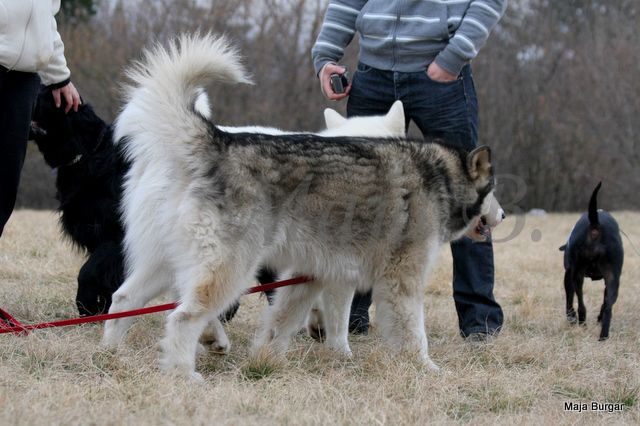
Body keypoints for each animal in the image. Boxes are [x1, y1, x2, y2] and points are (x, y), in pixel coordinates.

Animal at [104, 34, 496, 380]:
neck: (439, 175)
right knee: (181, 316)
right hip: (231, 269)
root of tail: (220, 141)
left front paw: (264, 362)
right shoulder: (395, 280)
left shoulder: (310, 275)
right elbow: (408, 332)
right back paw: (183, 372)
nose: (503, 215)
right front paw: (425, 368)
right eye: (493, 191)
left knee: (125, 297)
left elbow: (280, 324)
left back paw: (111, 354)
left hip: (169, 261)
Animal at [560, 182, 624, 340]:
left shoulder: (568, 275)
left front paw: (571, 318)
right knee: (607, 308)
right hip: (612, 279)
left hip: (577, 275)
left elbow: (569, 299)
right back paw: (603, 336)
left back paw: (582, 323)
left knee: (582, 304)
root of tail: (596, 225)